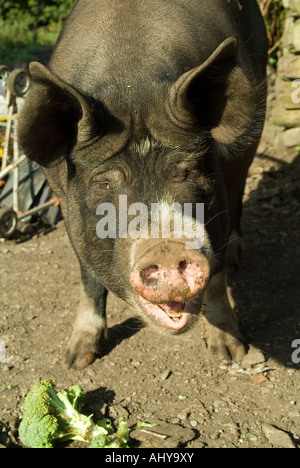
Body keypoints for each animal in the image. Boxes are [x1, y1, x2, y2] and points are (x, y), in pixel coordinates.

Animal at [18, 0, 268, 370]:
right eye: (103, 184)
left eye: (190, 171)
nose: (166, 248)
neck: (130, 81)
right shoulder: (65, 204)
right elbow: (88, 277)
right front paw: (76, 359)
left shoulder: (220, 183)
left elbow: (218, 273)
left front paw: (232, 353)